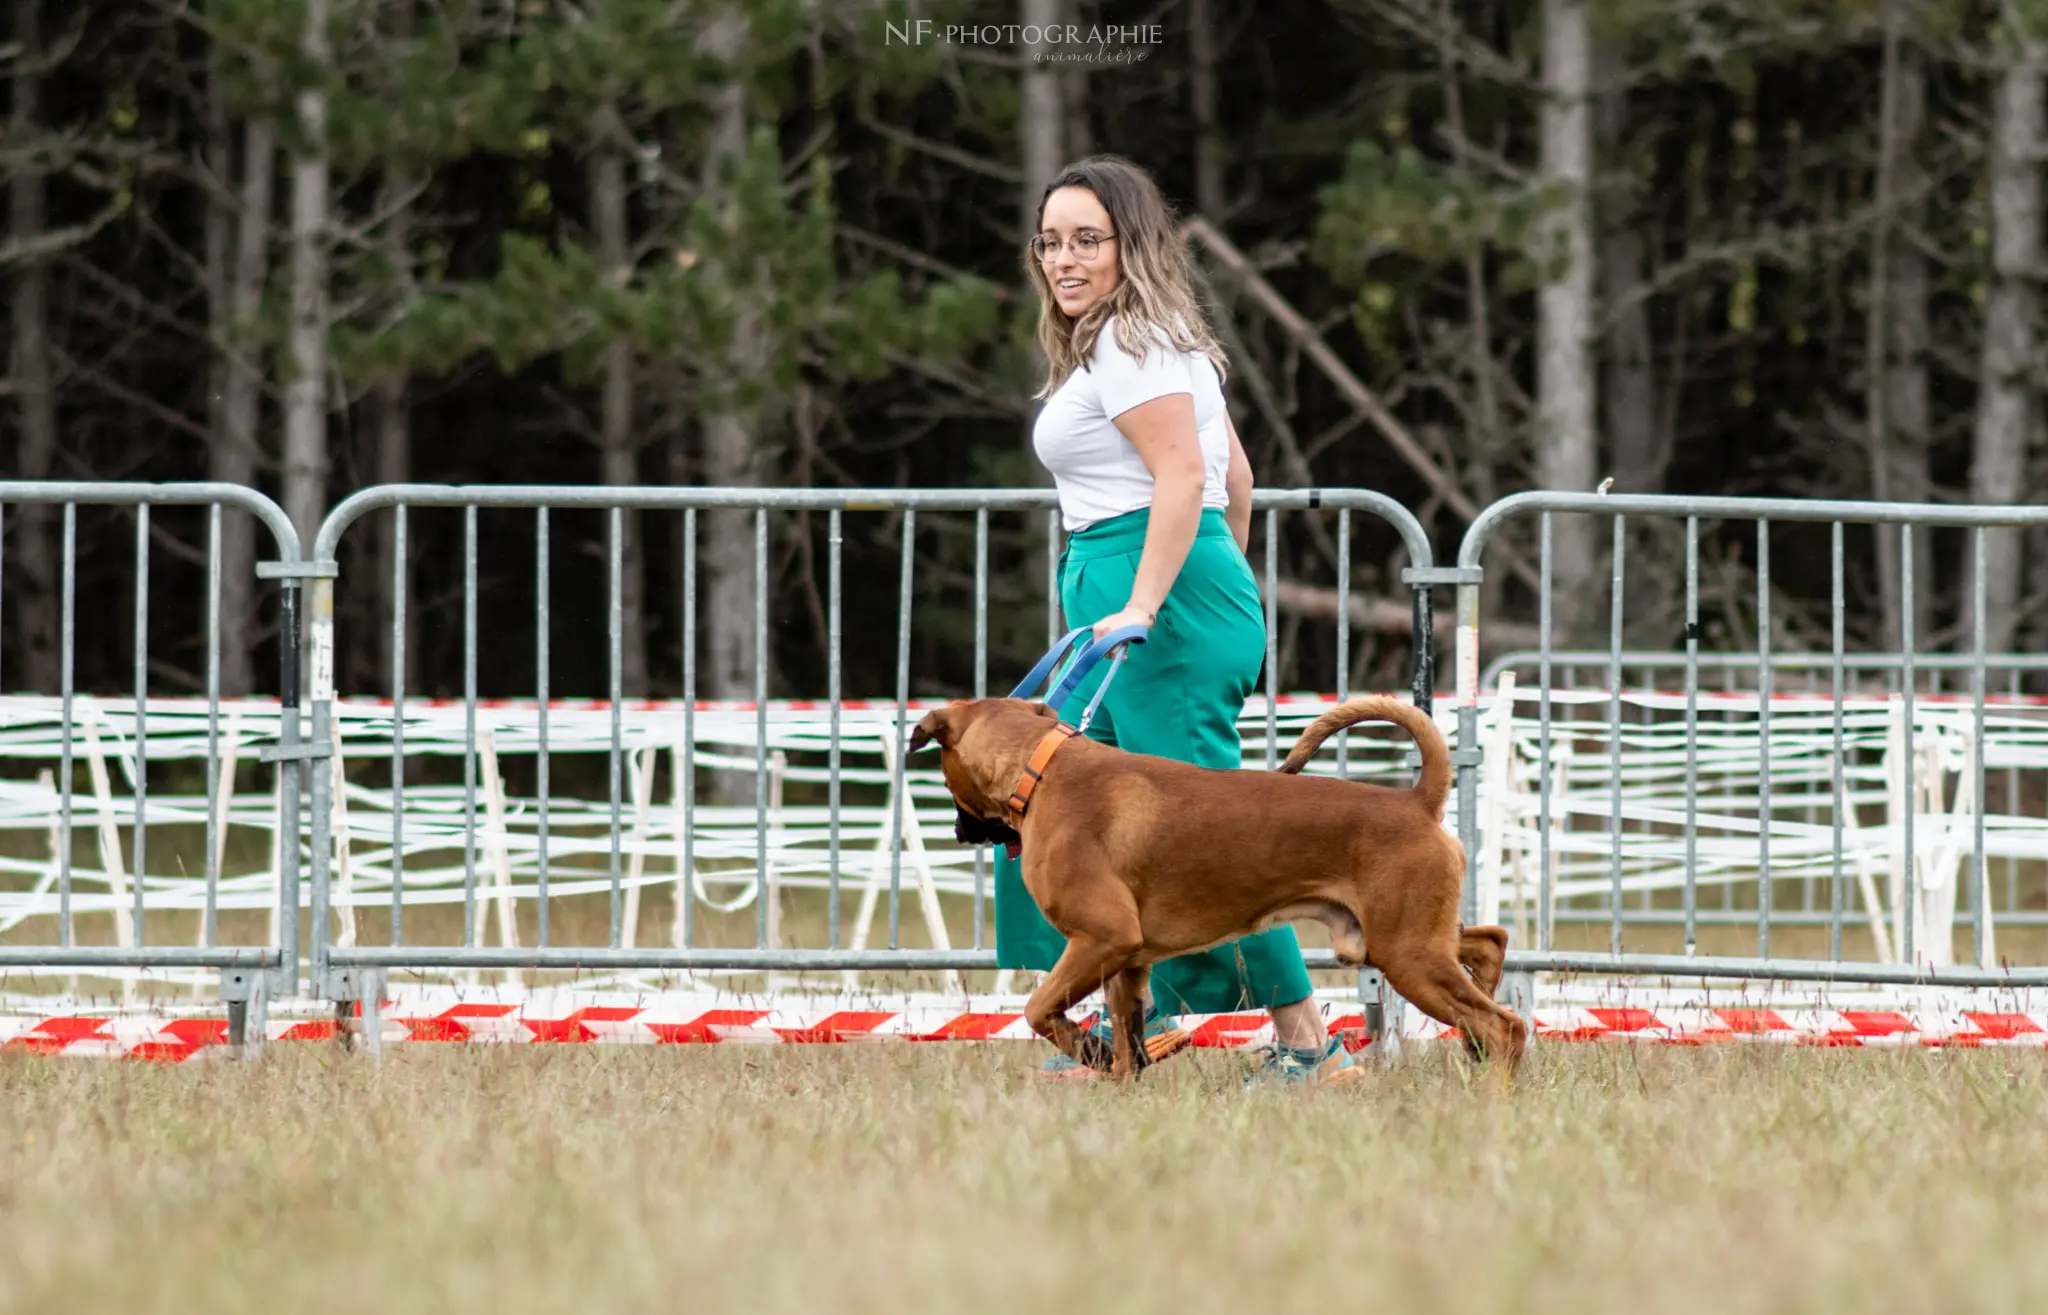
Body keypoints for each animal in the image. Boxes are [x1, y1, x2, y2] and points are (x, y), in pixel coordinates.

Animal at [909, 692, 1523, 1081]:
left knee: (1504, 1026)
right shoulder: (1126, 964)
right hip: (1396, 942)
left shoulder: (1101, 941)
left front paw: (1089, 1051)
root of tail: (1416, 801)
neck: (1039, 770)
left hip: (1409, 955)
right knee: (1489, 946)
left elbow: (1040, 1011)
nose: (958, 830)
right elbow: (1128, 1046)